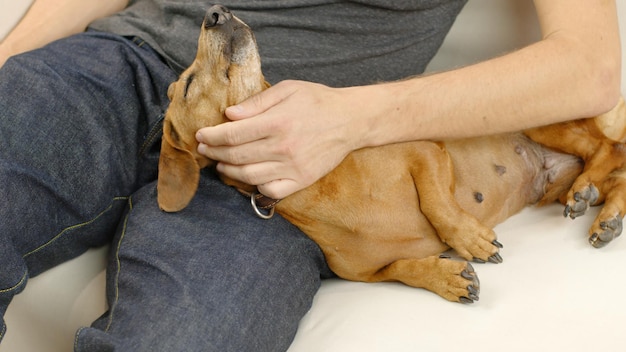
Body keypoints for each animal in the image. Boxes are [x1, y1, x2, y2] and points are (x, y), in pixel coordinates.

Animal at [156, 4, 624, 302]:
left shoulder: (424, 153)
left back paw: (588, 190)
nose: (215, 10)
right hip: (554, 174)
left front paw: (467, 237)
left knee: (608, 149)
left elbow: (438, 204)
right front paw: (445, 276)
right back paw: (604, 213)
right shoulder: (366, 274)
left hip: (543, 119)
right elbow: (403, 270)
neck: (318, 186)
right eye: (190, 84)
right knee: (616, 175)